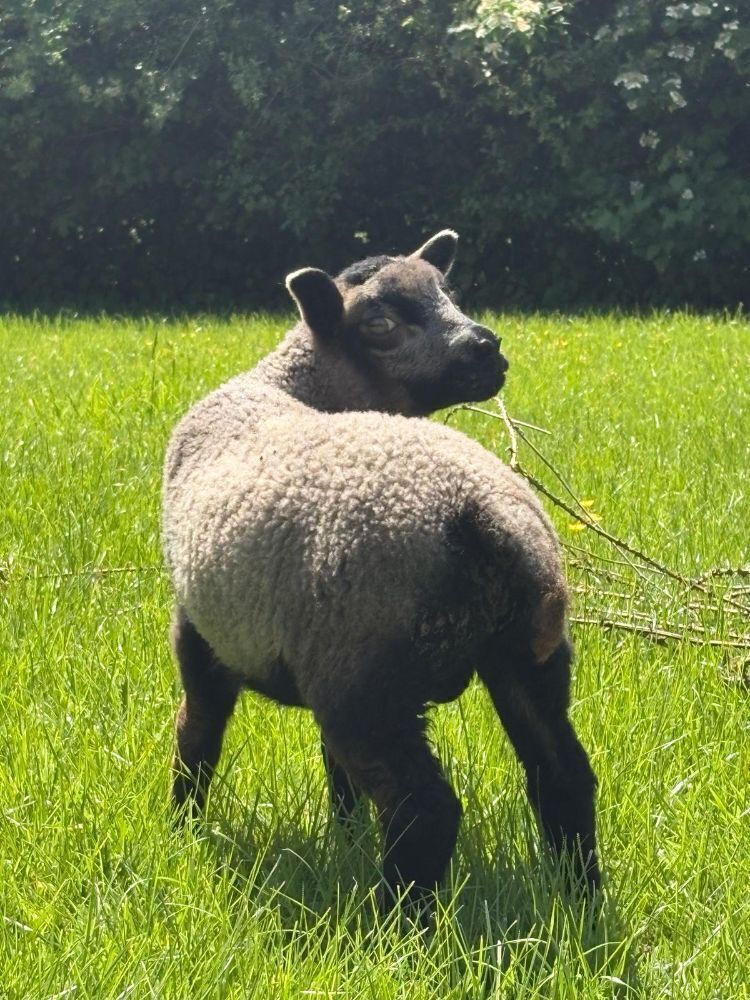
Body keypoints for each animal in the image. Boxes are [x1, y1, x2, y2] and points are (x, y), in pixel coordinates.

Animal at [162, 230, 599, 910]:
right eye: (379, 324)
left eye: (449, 293)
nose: (487, 346)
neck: (292, 388)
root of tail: (485, 515)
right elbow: (331, 770)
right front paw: (343, 832)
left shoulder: (202, 633)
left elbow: (198, 734)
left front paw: (182, 827)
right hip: (525, 654)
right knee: (563, 775)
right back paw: (583, 900)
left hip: (366, 675)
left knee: (425, 810)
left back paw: (398, 920)